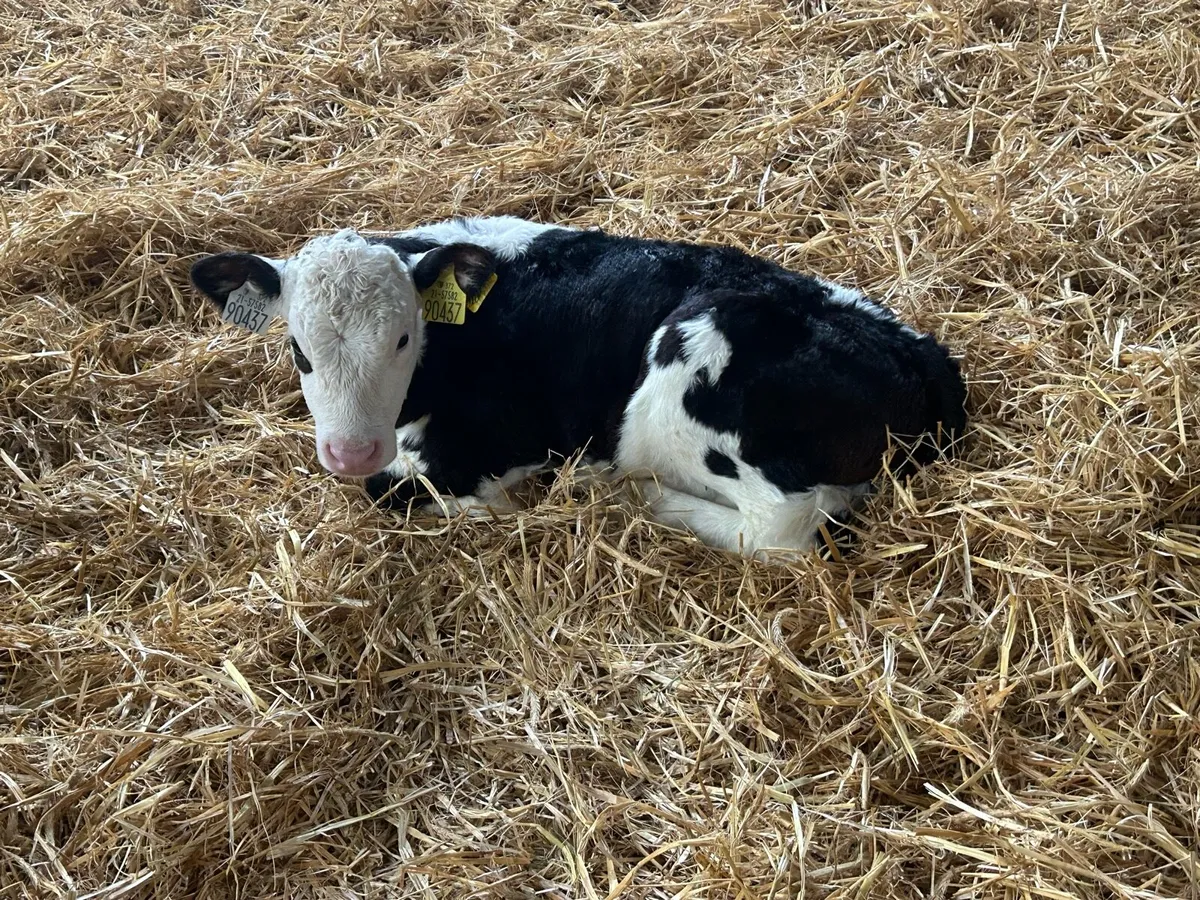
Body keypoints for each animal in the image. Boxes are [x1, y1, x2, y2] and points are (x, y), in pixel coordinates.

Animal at [190, 215, 967, 559]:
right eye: (299, 349)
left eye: (404, 339)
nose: (351, 451)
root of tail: (923, 355)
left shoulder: (501, 439)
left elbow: (407, 491)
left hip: (697, 359)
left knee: (776, 533)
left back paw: (630, 495)